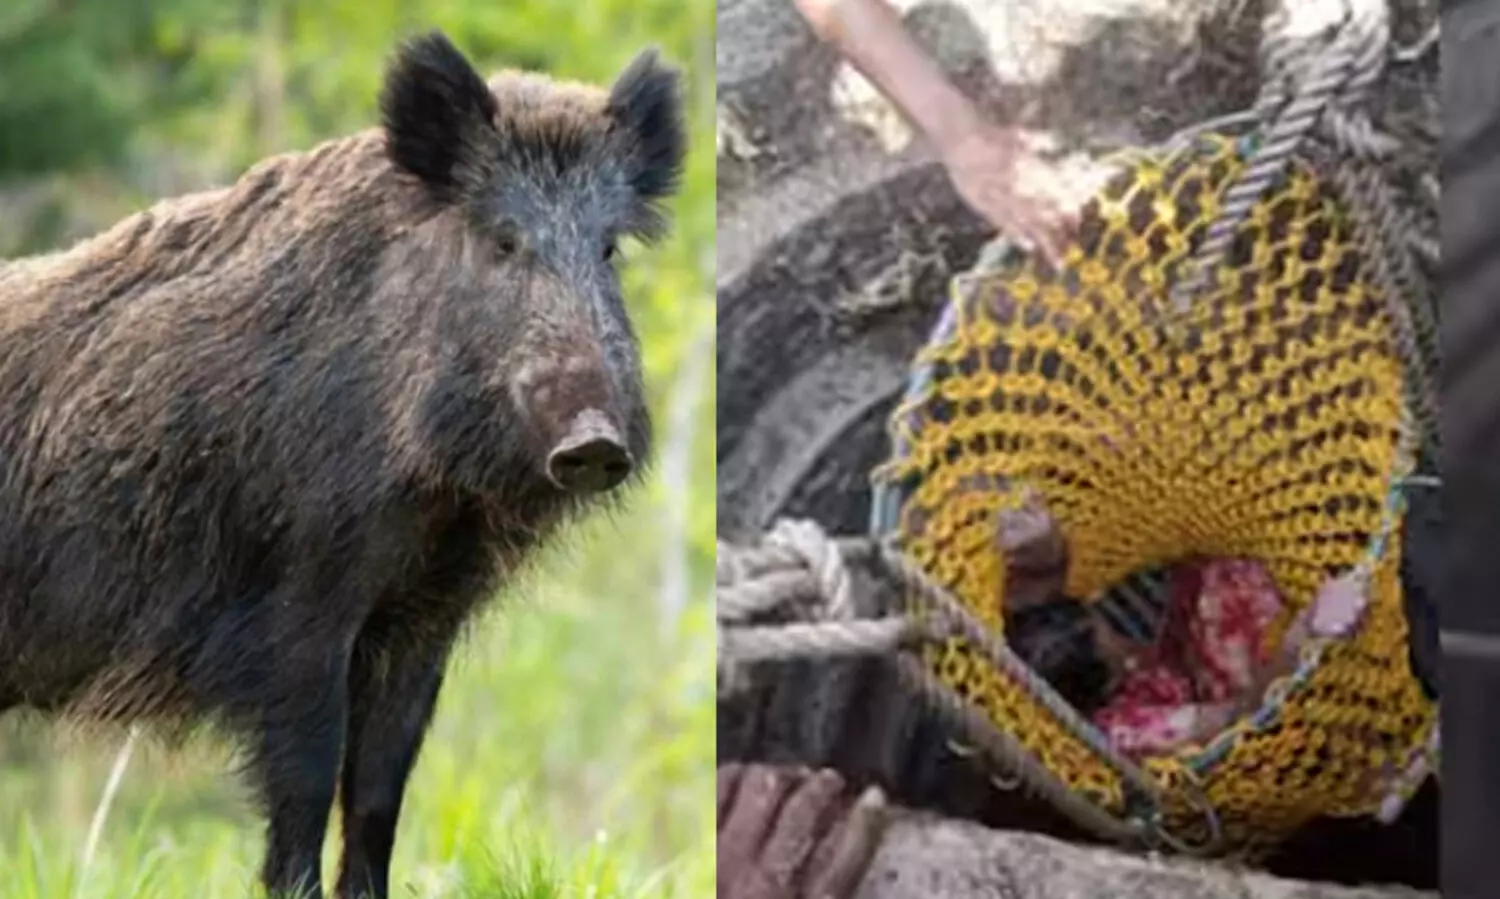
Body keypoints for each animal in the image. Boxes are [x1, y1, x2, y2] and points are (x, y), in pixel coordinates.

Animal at [0, 29, 684, 899]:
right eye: (501, 240)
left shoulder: (421, 619)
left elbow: (379, 789)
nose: (593, 440)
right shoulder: (298, 605)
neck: (436, 501)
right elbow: (307, 781)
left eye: (608, 247)